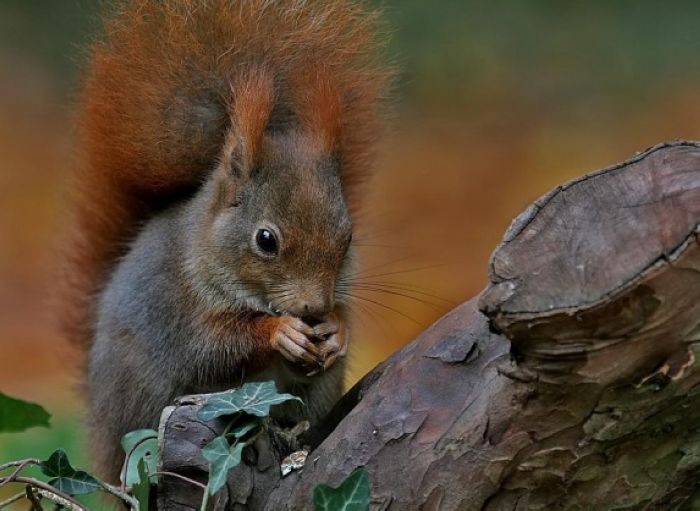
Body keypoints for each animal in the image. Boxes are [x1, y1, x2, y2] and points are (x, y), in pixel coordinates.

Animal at [58, 0, 392, 484]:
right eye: (265, 240)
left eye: (347, 237)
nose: (313, 307)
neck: (205, 243)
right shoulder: (181, 308)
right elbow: (213, 348)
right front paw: (280, 332)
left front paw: (334, 331)